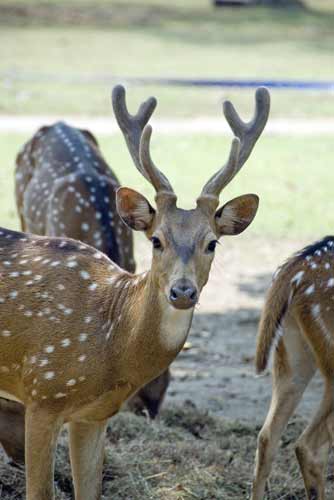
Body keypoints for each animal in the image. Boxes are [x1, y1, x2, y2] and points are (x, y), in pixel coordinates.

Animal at [0, 84, 268, 498]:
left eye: (212, 243)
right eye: (156, 240)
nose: (182, 291)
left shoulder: (93, 415)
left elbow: (90, 490)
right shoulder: (42, 392)